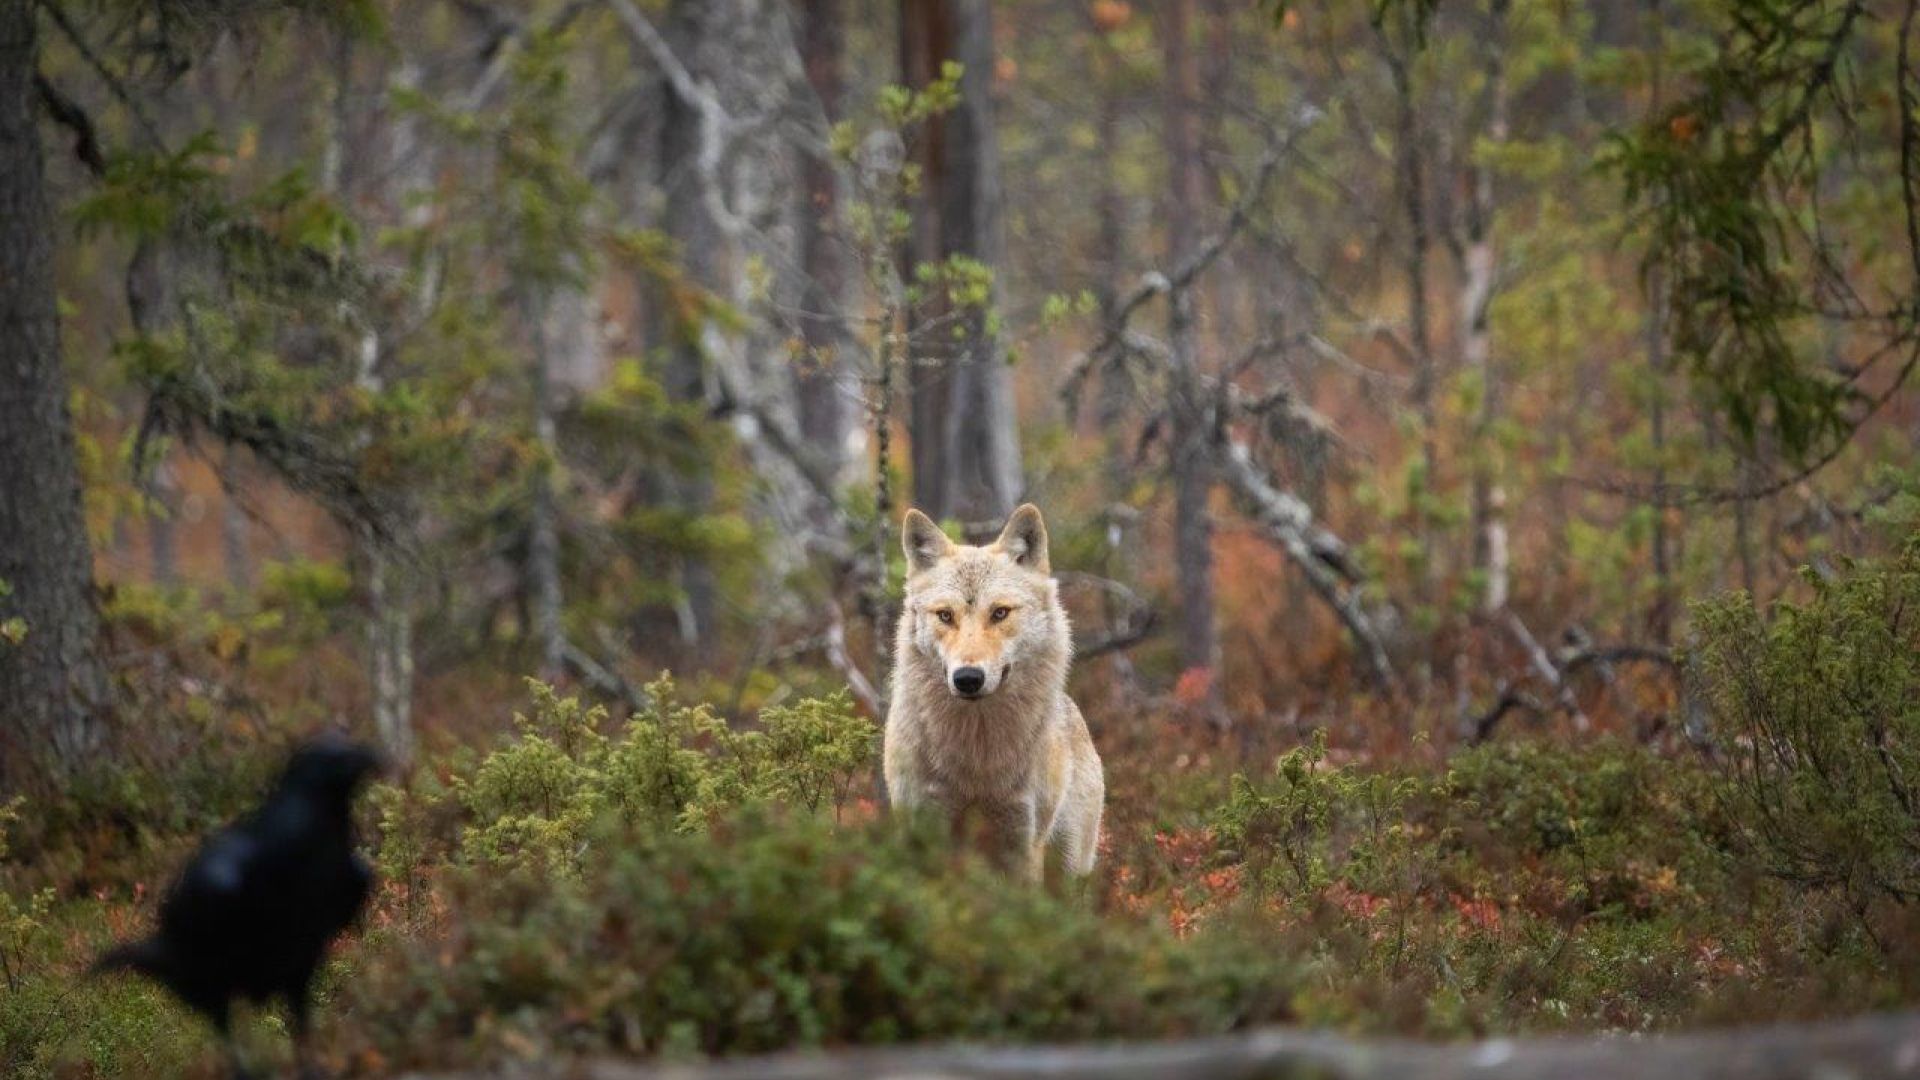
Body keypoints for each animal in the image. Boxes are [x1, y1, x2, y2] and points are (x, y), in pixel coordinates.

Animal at [887, 503, 1113, 876]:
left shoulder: (1023, 843)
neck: (978, 759)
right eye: (945, 616)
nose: (968, 677)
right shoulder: (924, 832)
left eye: (1000, 613)